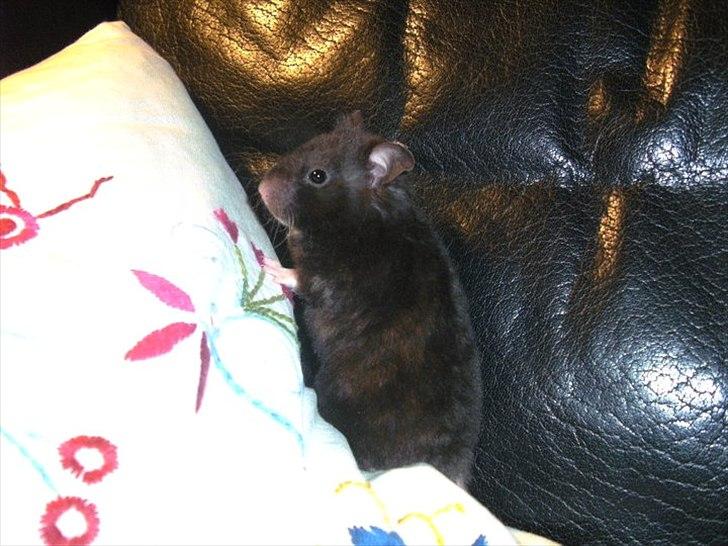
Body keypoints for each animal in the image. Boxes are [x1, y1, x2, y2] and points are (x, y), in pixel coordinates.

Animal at [258, 112, 483, 487]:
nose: (260, 188)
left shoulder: (329, 282)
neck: (358, 216)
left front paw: (270, 266)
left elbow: (301, 279)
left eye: (317, 176)